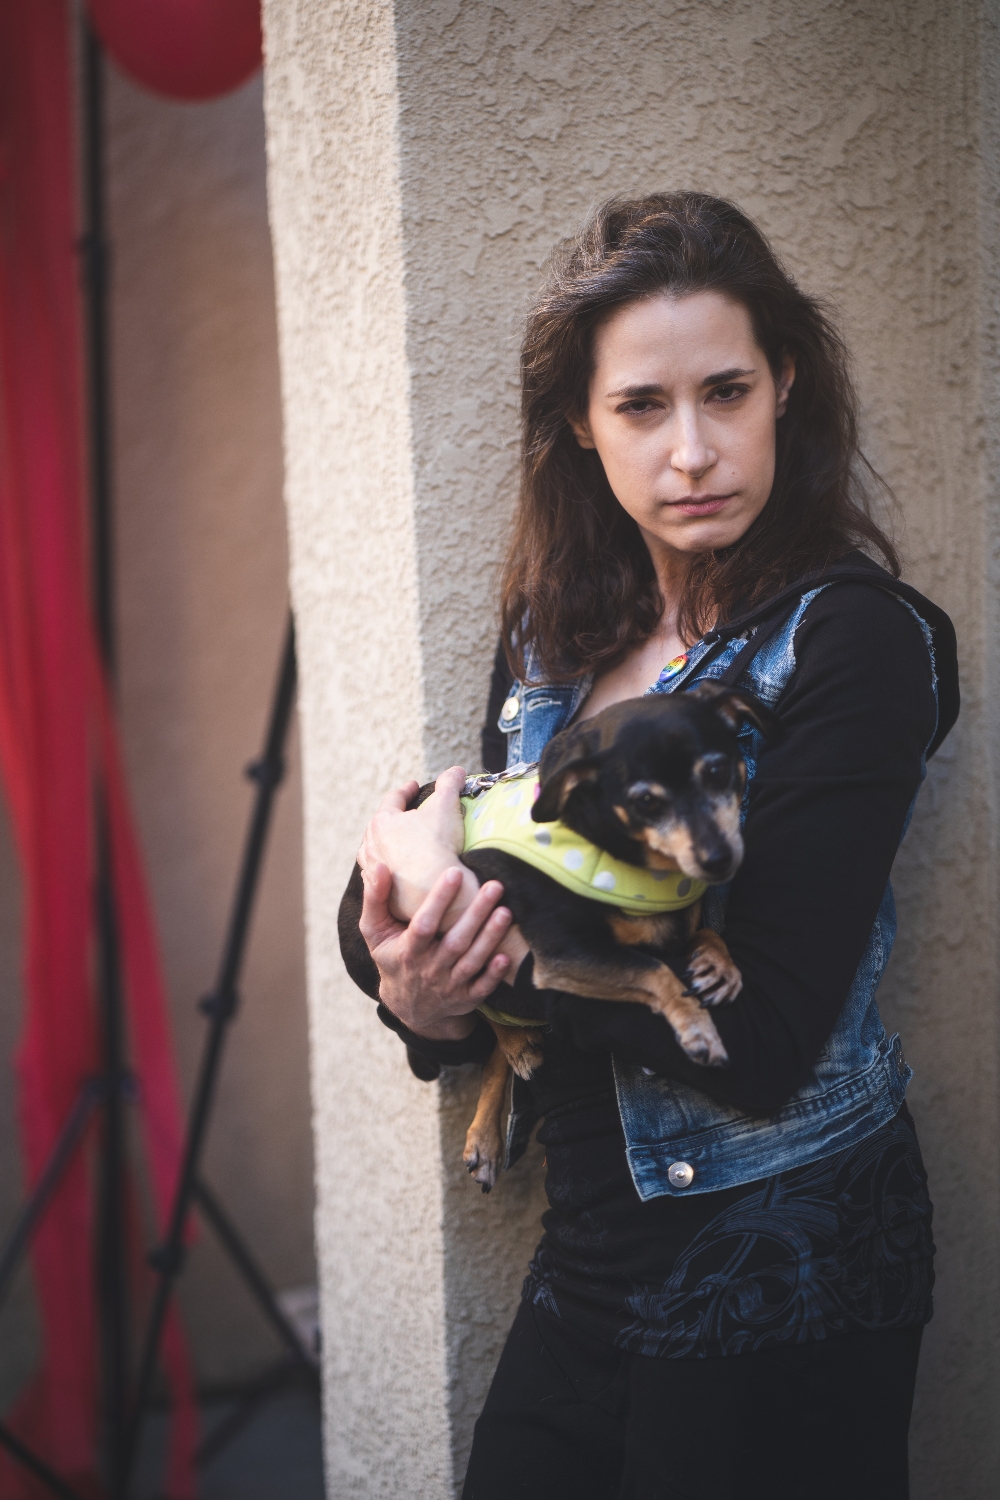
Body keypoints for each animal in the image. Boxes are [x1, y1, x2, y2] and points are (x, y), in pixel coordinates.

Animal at [339, 680, 780, 1191]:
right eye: (645, 801)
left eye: (718, 770)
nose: (719, 859)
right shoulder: (564, 956)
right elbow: (654, 972)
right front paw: (696, 1028)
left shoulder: (670, 929)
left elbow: (702, 936)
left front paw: (718, 963)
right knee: (485, 1012)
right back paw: (512, 1056)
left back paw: (487, 1132)